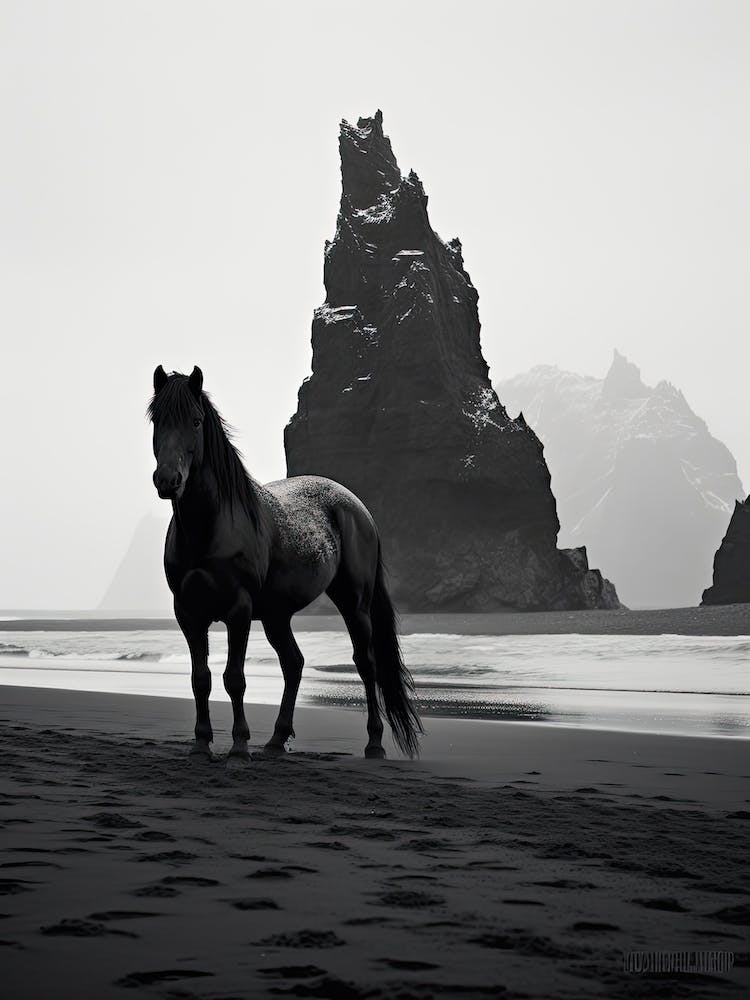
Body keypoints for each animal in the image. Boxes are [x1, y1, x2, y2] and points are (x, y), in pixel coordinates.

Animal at [148, 365, 422, 764]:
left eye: (196, 421)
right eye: (157, 420)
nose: (168, 480)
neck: (212, 527)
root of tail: (357, 507)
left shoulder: (239, 610)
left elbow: (234, 679)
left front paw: (239, 747)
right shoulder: (188, 612)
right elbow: (201, 679)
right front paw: (201, 745)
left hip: (354, 603)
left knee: (365, 663)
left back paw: (374, 744)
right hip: (277, 616)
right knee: (293, 664)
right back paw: (277, 740)